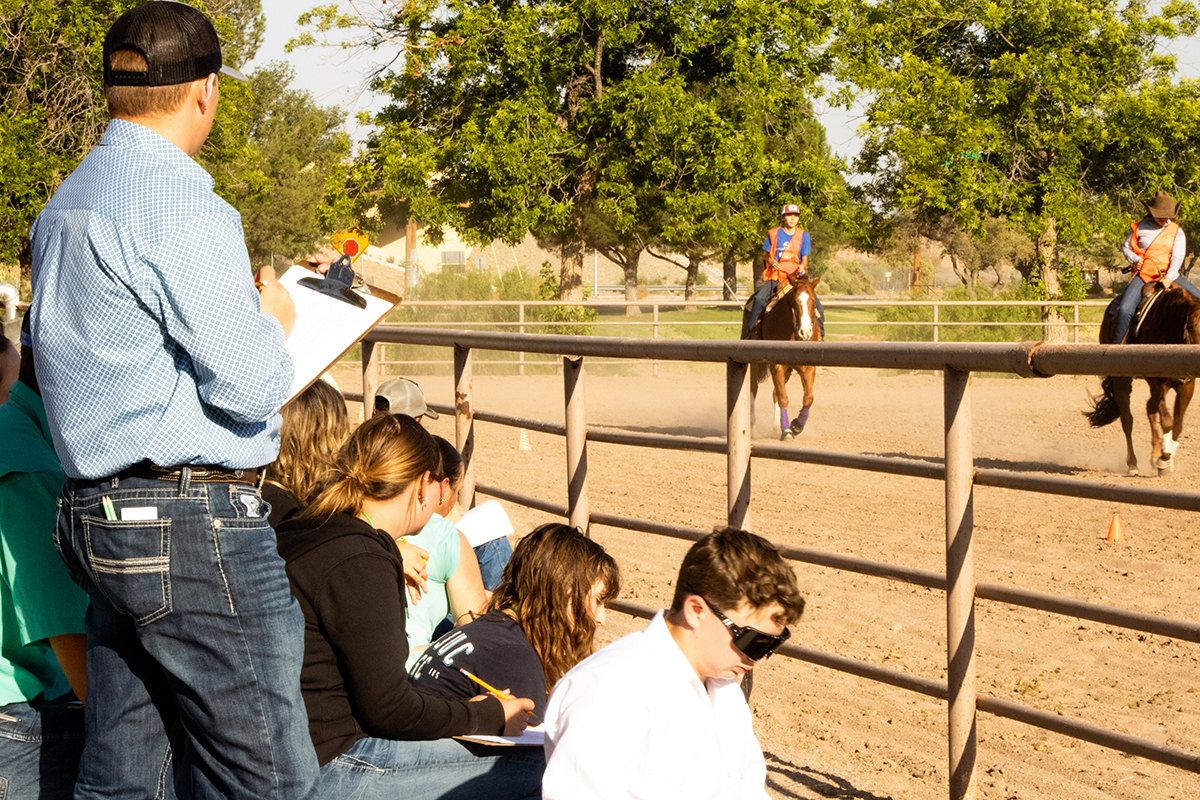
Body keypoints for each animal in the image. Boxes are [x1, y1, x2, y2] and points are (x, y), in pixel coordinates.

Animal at [739, 272, 825, 441]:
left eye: (813, 301)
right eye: (794, 302)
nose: (805, 332)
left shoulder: (808, 367)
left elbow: (808, 398)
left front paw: (796, 426)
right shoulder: (776, 365)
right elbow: (784, 398)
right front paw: (786, 430)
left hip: (788, 370)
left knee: (775, 393)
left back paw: (775, 425)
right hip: (757, 363)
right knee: (754, 388)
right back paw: (753, 425)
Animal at [1084, 284, 1200, 474]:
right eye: (1190, 327)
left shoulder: (1187, 385)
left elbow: (1178, 424)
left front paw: (1165, 456)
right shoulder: (1155, 381)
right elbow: (1167, 421)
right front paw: (1164, 459)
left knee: (1149, 408)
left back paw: (1154, 454)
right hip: (1121, 380)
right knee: (1127, 419)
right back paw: (1133, 464)